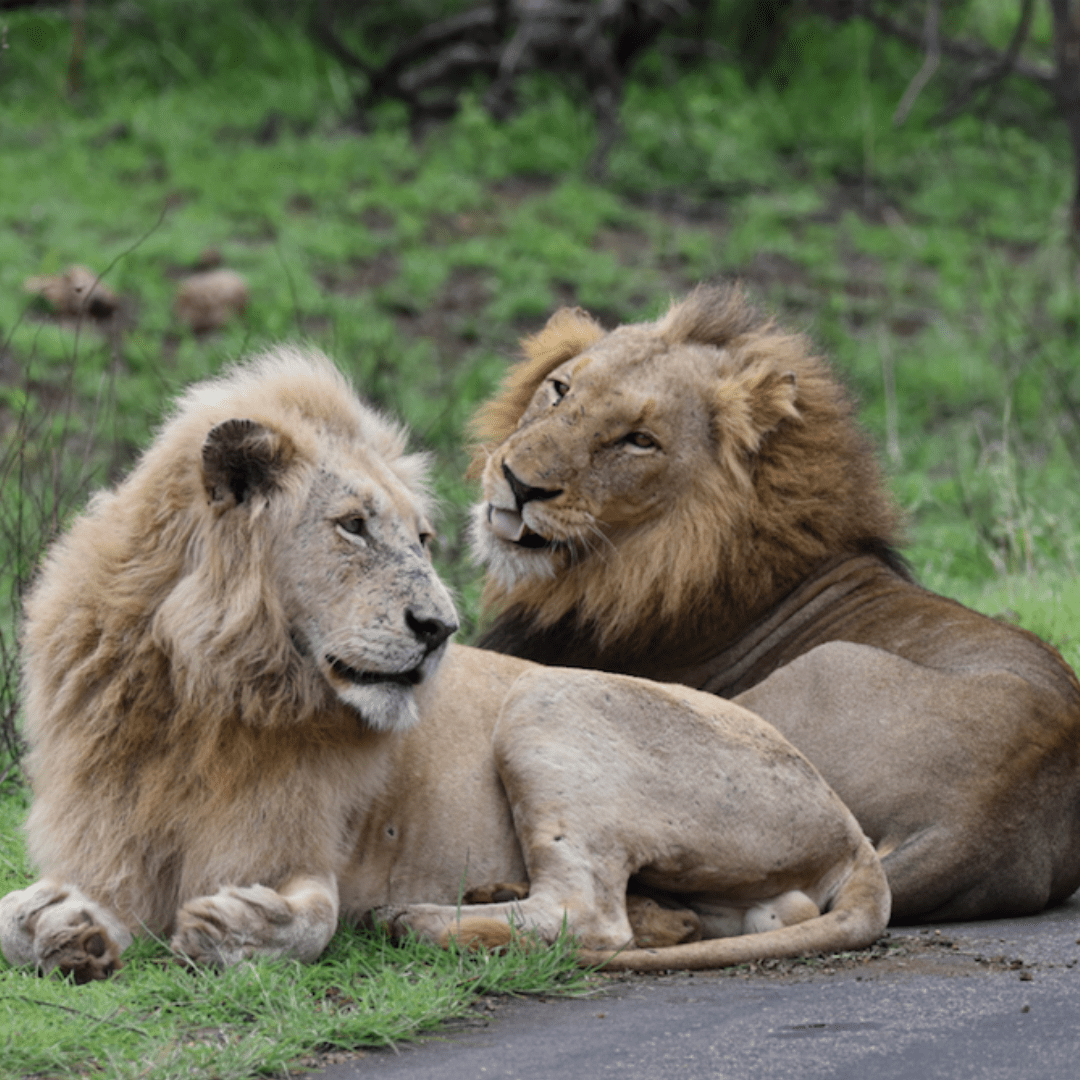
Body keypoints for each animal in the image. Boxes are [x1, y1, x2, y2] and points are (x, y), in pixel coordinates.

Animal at [0, 347, 885, 980]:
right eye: (353, 525)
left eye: (422, 539)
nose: (439, 628)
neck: (200, 691)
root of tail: (848, 821)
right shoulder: (108, 849)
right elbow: (13, 916)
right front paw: (63, 932)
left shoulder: (303, 849)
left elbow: (314, 919)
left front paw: (237, 928)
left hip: (549, 707)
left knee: (592, 917)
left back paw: (418, 921)